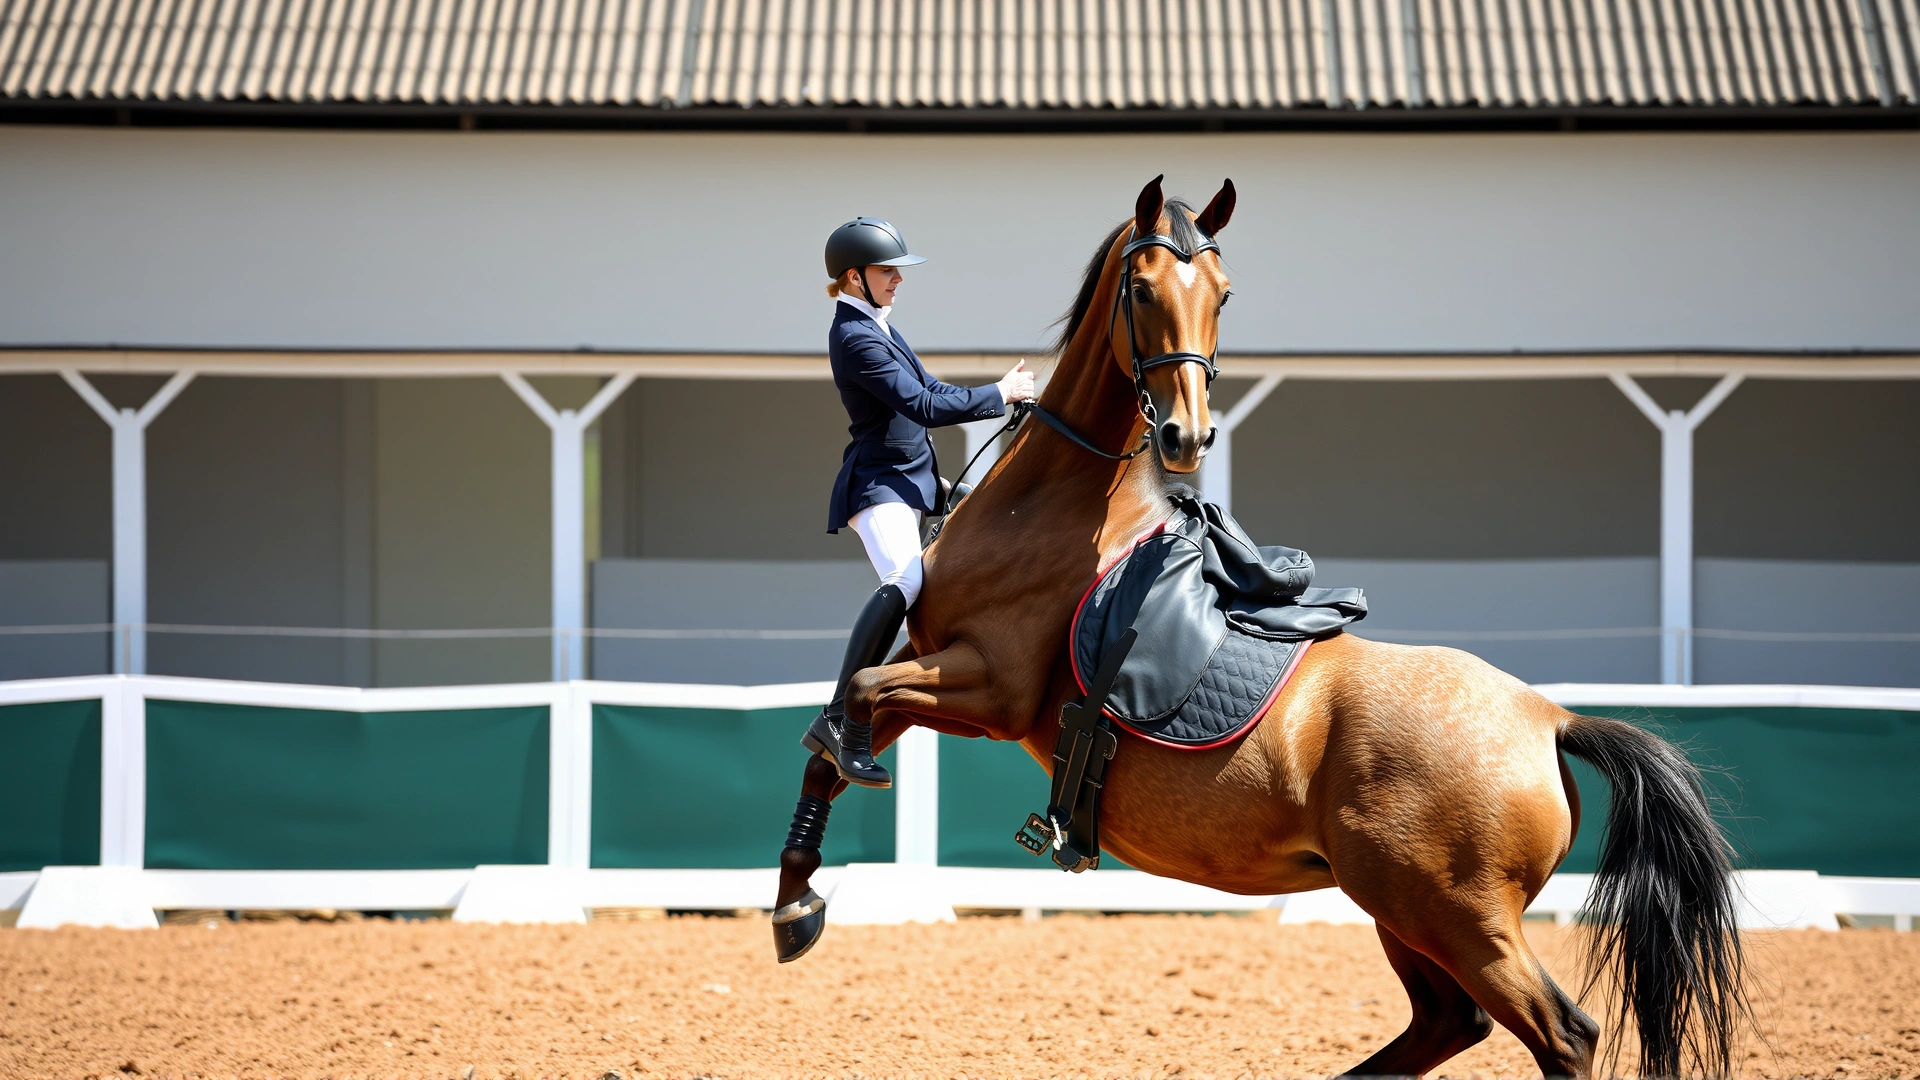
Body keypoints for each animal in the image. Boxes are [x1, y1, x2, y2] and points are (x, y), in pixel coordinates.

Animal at [774, 176, 1750, 1080]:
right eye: (1141, 290)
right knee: (1447, 1023)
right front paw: (794, 903)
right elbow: (840, 730)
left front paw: (809, 867)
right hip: (1401, 908)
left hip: (1452, 912)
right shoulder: (939, 663)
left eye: (1224, 292)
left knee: (1560, 1034)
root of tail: (1550, 718)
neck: (1058, 505)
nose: (1187, 436)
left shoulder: (988, 690)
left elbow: (857, 699)